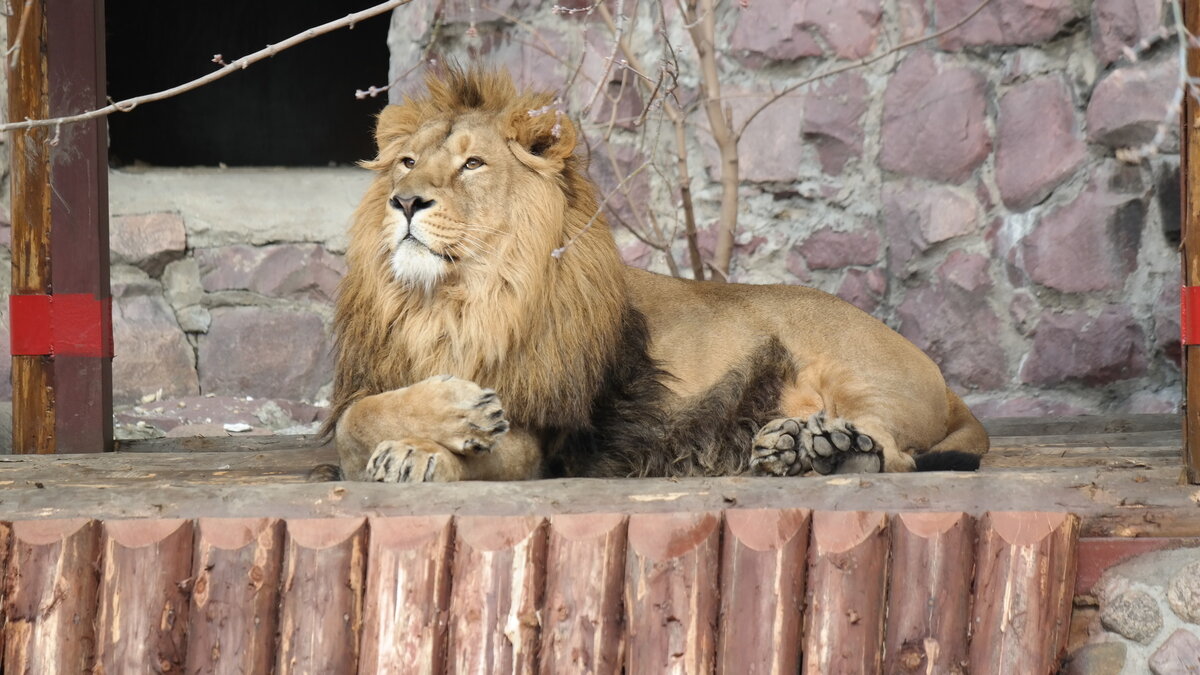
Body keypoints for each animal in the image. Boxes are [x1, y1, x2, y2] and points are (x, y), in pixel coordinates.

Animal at [324, 68, 988, 480]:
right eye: (407, 162)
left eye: (473, 165)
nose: (405, 201)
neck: (448, 302)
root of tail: (943, 380)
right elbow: (357, 419)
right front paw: (424, 433)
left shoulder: (536, 433)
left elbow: (398, 432)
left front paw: (426, 446)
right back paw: (801, 445)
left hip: (855, 369)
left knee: (893, 451)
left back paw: (834, 449)